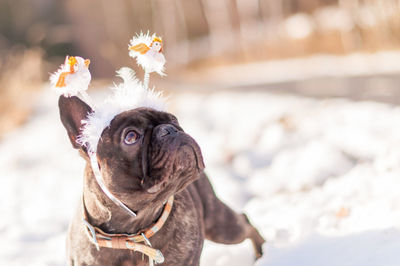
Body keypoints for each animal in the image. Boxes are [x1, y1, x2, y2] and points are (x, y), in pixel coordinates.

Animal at [59, 95, 266, 264]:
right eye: (131, 136)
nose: (169, 129)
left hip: (220, 224)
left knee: (244, 223)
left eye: (174, 119)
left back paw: (262, 254)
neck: (131, 232)